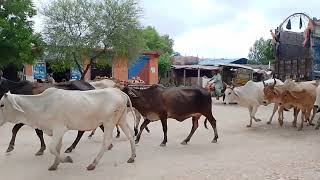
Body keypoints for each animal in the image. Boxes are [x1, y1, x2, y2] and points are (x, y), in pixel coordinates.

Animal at [0, 88, 136, 171]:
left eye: (1, 104)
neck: (42, 105)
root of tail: (119, 92)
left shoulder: (59, 129)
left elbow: (52, 148)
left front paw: (67, 159)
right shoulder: (57, 132)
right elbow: (57, 148)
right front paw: (54, 165)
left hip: (109, 122)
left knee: (107, 141)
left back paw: (93, 163)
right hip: (121, 120)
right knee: (130, 135)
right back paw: (132, 157)